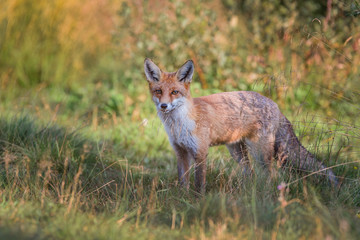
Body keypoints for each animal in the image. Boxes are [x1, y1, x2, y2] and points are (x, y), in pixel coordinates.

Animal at [144, 58, 338, 193]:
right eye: (158, 91)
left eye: (175, 92)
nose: (164, 106)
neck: (179, 125)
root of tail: (275, 104)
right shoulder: (180, 152)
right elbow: (183, 181)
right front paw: (182, 200)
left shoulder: (200, 152)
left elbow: (199, 183)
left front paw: (198, 201)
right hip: (237, 152)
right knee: (251, 173)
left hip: (260, 151)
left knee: (272, 175)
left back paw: (267, 194)